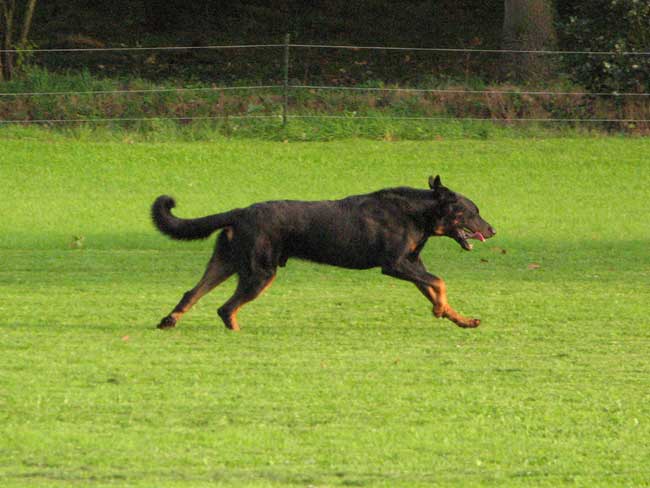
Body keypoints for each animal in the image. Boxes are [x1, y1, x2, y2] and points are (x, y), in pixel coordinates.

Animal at [153, 175, 496, 332]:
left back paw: (170, 321)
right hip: (260, 272)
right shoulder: (395, 265)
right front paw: (439, 311)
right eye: (473, 212)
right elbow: (439, 282)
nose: (493, 230)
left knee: (191, 293)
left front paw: (459, 318)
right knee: (226, 308)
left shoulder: (411, 265)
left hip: (226, 264)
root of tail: (239, 212)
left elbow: (435, 287)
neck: (417, 213)